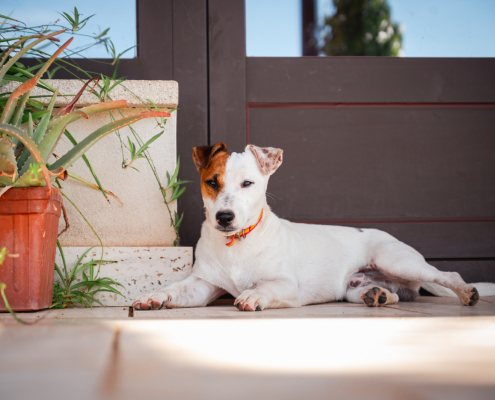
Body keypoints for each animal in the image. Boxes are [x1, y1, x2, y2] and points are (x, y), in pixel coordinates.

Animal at [133, 142, 495, 310]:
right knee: (389, 295)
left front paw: (252, 296)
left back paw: (467, 292)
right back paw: (377, 295)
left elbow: (264, 287)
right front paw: (153, 297)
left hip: (397, 260)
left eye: (248, 183)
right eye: (212, 182)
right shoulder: (202, 284)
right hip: (353, 288)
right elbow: (176, 289)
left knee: (448, 274)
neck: (238, 243)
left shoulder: (285, 284)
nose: (224, 218)